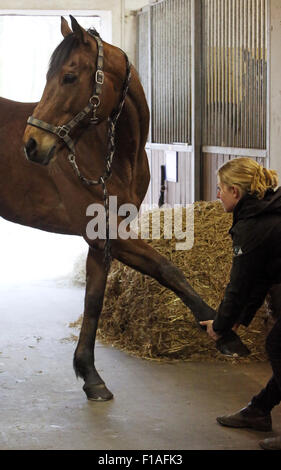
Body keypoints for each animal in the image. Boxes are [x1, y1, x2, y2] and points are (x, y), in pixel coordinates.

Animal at [20, 16, 249, 402]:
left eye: (68, 76)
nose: (32, 144)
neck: (109, 153)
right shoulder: (105, 233)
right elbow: (167, 269)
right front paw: (225, 333)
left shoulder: (105, 239)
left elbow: (95, 300)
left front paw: (90, 375)